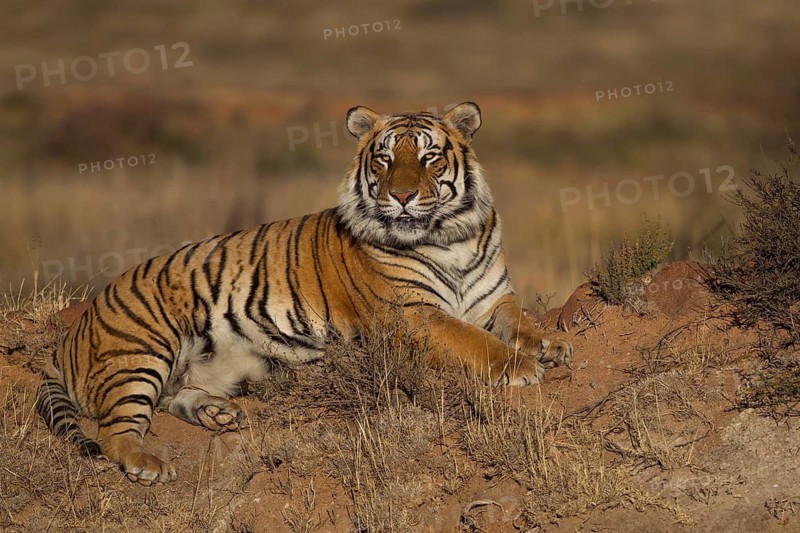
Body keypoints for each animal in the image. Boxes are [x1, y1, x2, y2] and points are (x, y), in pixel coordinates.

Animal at [36, 102, 573, 485]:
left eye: (429, 157)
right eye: (384, 158)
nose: (400, 196)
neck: (450, 236)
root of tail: (74, 329)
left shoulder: (495, 297)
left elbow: (518, 321)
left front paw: (549, 344)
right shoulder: (412, 312)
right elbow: (473, 340)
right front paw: (521, 367)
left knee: (172, 397)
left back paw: (220, 414)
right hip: (143, 351)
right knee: (113, 430)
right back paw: (149, 464)